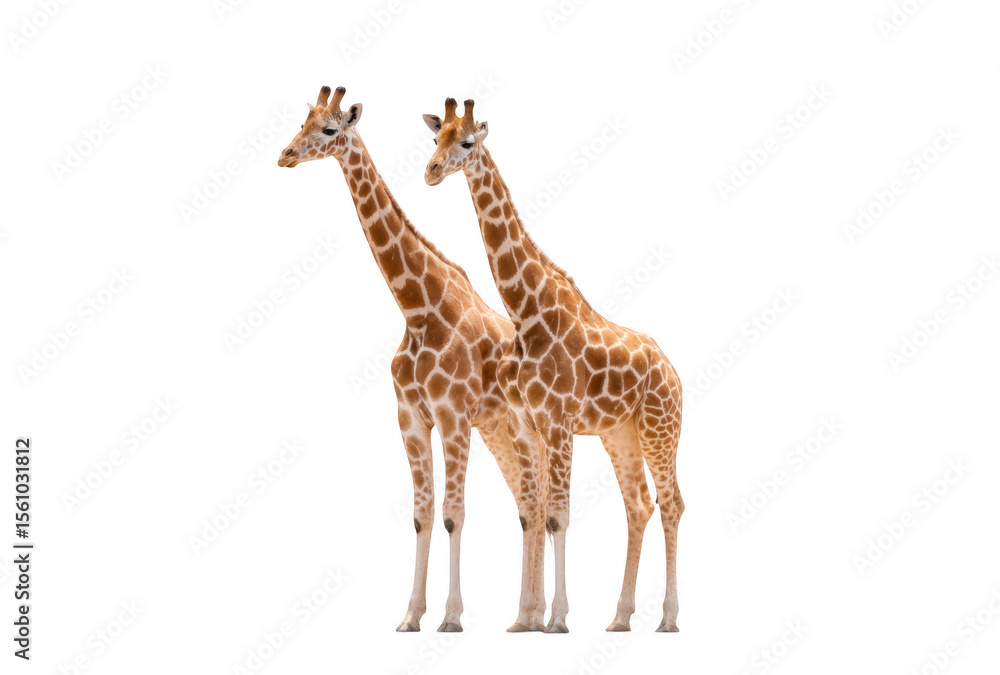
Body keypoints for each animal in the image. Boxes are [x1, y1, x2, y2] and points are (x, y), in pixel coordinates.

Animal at [277, 86, 549, 632]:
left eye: (330, 130)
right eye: (301, 123)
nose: (286, 156)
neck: (420, 310)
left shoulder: (453, 418)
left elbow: (453, 513)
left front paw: (451, 617)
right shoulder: (410, 419)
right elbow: (423, 515)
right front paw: (410, 615)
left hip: (524, 429)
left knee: (540, 502)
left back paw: (538, 615)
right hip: (499, 429)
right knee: (527, 504)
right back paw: (526, 616)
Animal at [423, 98, 684, 633]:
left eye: (467, 142)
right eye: (436, 139)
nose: (432, 171)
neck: (527, 311)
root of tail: (676, 375)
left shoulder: (560, 421)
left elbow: (557, 515)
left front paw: (558, 619)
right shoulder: (529, 422)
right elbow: (536, 512)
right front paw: (529, 619)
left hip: (660, 429)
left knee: (672, 503)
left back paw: (668, 619)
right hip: (620, 433)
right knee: (639, 505)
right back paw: (620, 617)